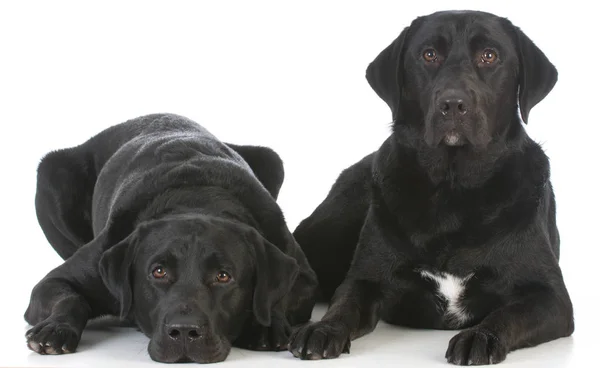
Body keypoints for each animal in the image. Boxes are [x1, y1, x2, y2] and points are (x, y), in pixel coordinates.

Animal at [25, 114, 316, 362]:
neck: (196, 198)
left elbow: (282, 295)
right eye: (158, 271)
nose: (185, 331)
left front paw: (267, 325)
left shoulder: (302, 274)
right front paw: (55, 328)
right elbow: (71, 299)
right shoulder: (60, 279)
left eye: (223, 276)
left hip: (271, 159)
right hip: (51, 172)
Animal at [288, 9, 576, 366]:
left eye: (489, 56)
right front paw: (323, 329)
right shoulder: (365, 279)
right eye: (429, 55)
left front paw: (480, 336)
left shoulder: (550, 297)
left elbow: (508, 314)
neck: (453, 190)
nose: (453, 104)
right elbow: (344, 304)